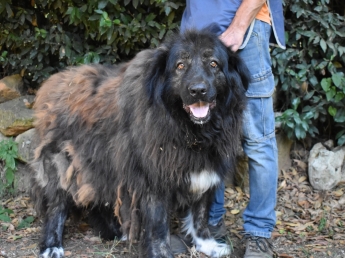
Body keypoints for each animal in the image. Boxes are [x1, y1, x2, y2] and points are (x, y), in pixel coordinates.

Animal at [29, 29, 247, 258]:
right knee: (57, 206)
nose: (198, 90)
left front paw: (206, 243)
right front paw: (161, 253)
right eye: (180, 66)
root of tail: (53, 82)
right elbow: (159, 225)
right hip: (64, 164)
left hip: (101, 161)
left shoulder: (205, 170)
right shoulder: (154, 178)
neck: (188, 131)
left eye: (213, 64)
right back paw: (52, 244)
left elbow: (200, 213)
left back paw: (113, 230)